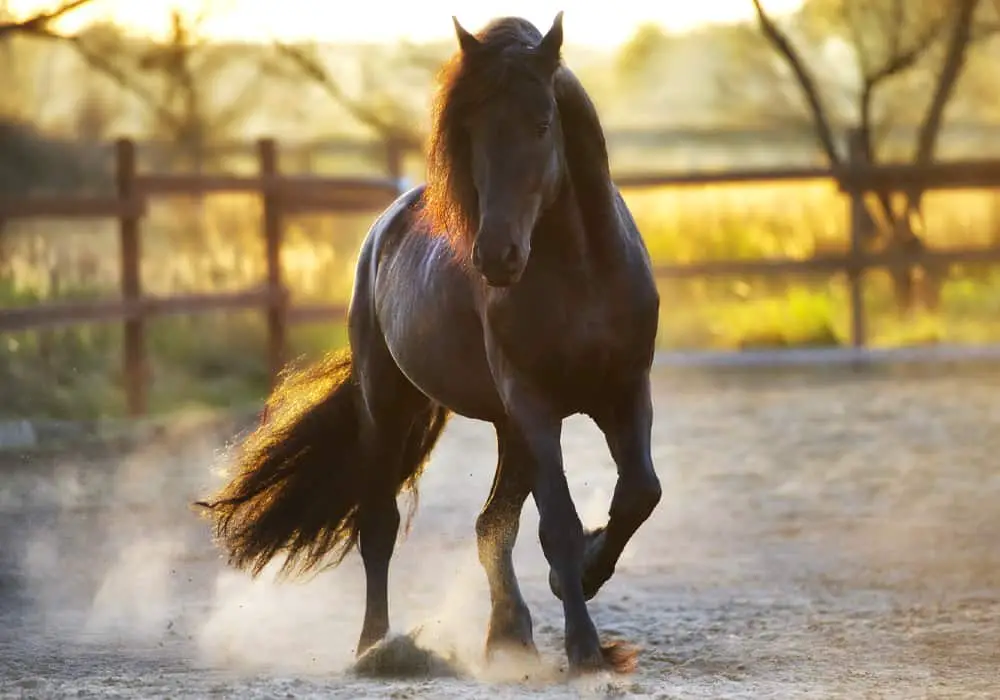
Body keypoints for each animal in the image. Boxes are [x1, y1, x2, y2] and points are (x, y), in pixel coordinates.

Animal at [195, 13, 664, 676]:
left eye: (542, 123)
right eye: (470, 130)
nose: (496, 256)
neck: (582, 273)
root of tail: (384, 227)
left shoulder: (624, 390)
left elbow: (638, 494)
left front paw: (586, 582)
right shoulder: (535, 404)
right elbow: (559, 525)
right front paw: (585, 651)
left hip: (507, 428)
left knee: (491, 525)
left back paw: (508, 638)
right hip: (391, 405)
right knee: (380, 526)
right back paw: (377, 646)